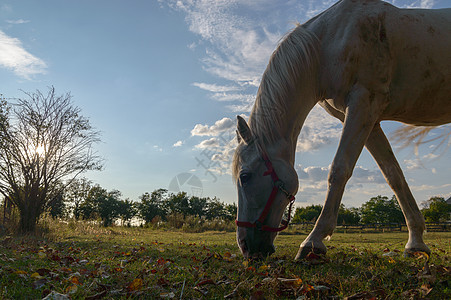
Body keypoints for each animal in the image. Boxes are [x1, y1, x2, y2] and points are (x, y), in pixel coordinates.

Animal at [233, 0, 451, 258]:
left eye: (245, 177)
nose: (246, 247)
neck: (327, 45)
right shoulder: (369, 120)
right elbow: (394, 176)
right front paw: (415, 243)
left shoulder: (362, 104)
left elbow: (339, 169)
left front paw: (313, 242)